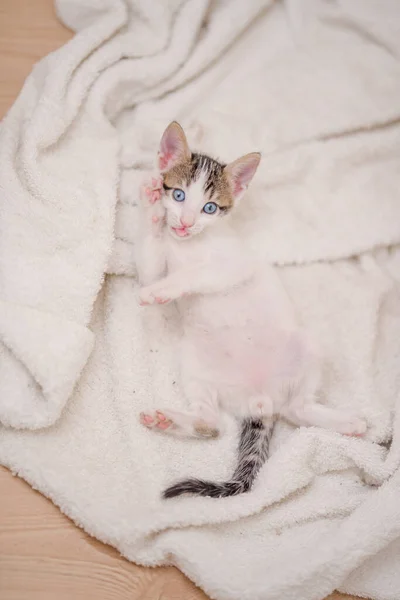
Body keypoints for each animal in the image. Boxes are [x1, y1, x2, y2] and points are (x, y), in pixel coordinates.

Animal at [136, 120, 368, 496]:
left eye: (210, 208)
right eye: (179, 195)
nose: (185, 223)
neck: (189, 244)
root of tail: (261, 401)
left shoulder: (233, 265)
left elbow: (197, 274)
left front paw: (163, 290)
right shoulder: (159, 259)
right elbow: (150, 264)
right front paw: (150, 205)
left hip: (305, 347)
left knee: (299, 407)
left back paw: (346, 422)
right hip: (195, 364)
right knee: (212, 424)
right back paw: (170, 420)